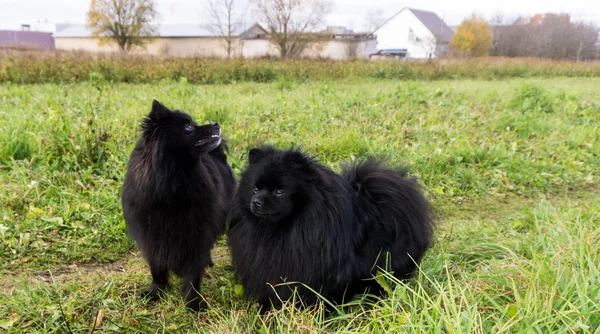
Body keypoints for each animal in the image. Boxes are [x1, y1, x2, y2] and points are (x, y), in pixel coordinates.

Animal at [121, 99, 234, 310]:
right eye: (188, 127)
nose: (216, 123)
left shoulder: (197, 233)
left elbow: (193, 271)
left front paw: (193, 301)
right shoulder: (151, 235)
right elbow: (156, 267)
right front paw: (156, 290)